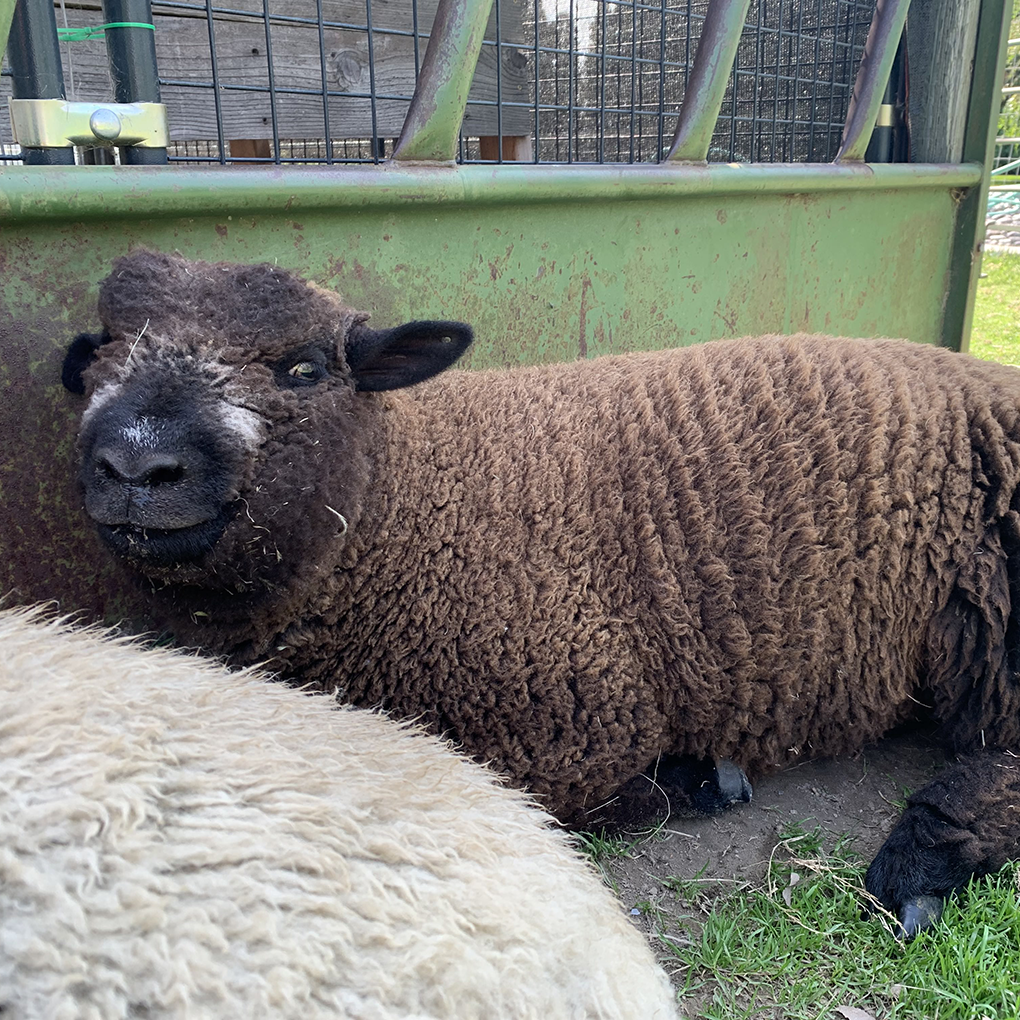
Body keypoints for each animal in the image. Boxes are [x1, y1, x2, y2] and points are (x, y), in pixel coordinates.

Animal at [62, 249, 1020, 934]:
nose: (137, 466)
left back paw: (923, 864)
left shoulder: (575, 712)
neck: (409, 497)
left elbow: (546, 795)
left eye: (303, 369)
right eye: (99, 354)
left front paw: (703, 777)